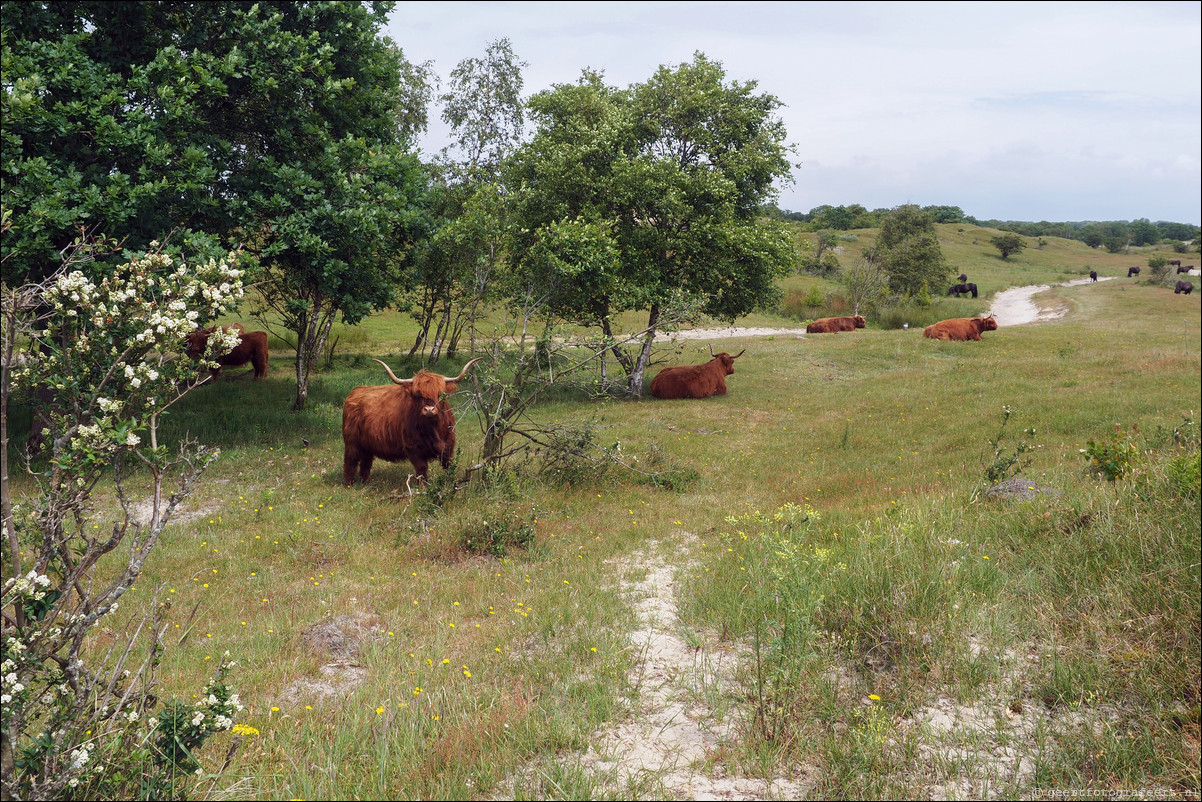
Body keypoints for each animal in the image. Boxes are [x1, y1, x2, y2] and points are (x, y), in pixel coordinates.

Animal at [338, 360, 478, 485]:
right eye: (418, 395)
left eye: (441, 394)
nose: (429, 409)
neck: (433, 428)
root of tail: (356, 391)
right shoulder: (413, 448)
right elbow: (421, 469)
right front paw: (423, 487)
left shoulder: (448, 446)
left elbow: (448, 465)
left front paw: (451, 483)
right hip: (352, 442)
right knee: (350, 461)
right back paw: (349, 483)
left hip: (367, 444)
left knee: (366, 462)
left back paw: (365, 482)